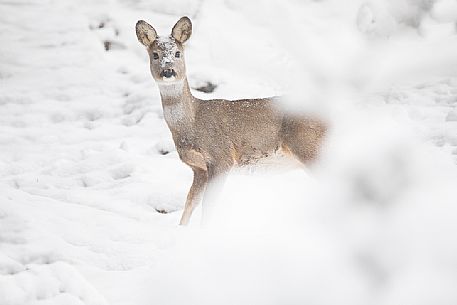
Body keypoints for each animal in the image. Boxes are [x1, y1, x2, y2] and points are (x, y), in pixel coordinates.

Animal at [134, 17, 326, 226]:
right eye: (155, 55)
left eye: (177, 53)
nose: (168, 71)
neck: (192, 124)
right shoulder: (199, 168)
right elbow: (190, 202)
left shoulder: (221, 156)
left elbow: (209, 204)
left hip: (308, 144)